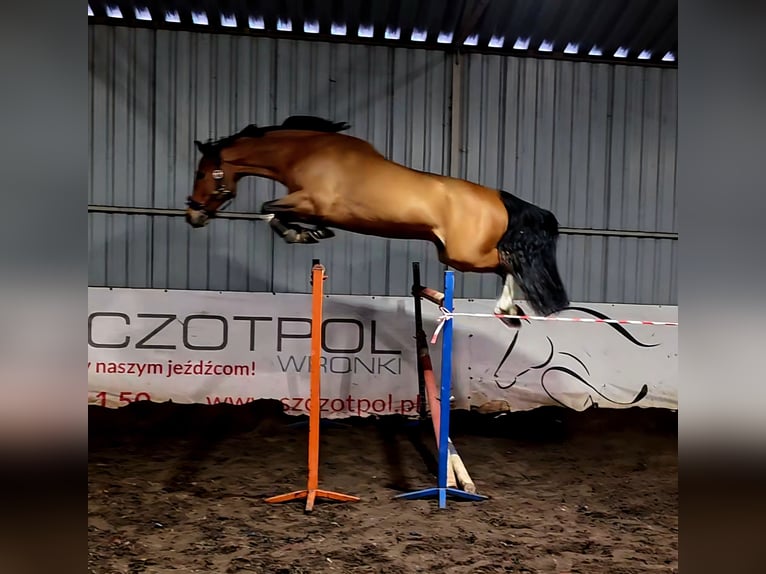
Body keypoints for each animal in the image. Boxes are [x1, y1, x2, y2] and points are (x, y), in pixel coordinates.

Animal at [185, 115, 570, 328]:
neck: (305, 152)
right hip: (452, 254)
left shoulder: (310, 201)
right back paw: (510, 313)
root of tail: (499, 197)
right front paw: (312, 233)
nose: (193, 215)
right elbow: (273, 210)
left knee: (508, 264)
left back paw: (505, 309)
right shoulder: (304, 202)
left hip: (466, 256)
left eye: (202, 173)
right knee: (507, 266)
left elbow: (269, 208)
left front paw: (303, 235)